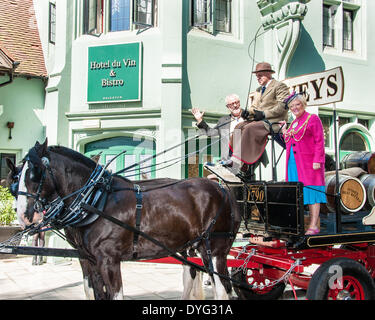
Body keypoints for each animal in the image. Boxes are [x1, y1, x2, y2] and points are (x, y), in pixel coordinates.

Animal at [8, 139, 241, 300]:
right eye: (15, 179)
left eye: (36, 172)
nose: (23, 215)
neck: (96, 201)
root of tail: (222, 188)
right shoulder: (88, 259)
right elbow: (94, 293)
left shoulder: (109, 260)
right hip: (192, 248)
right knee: (193, 276)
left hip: (215, 250)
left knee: (222, 291)